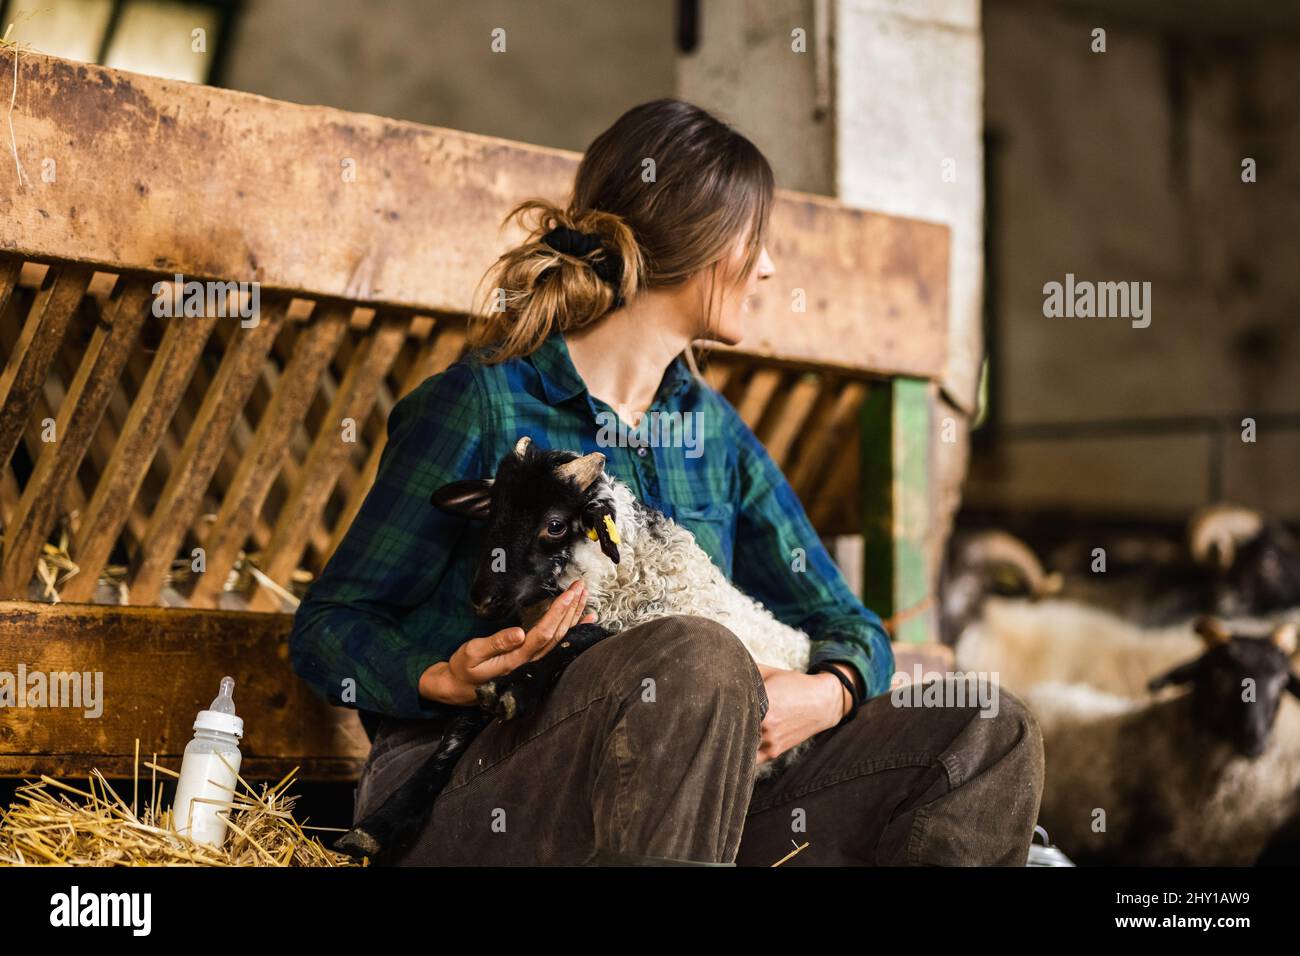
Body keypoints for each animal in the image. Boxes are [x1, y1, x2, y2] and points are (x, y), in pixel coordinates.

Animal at [335, 437, 814, 863]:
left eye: (555, 524)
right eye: (493, 512)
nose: (482, 599)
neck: (624, 574)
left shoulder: (618, 622)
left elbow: (580, 640)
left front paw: (517, 688)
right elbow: (458, 732)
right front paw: (381, 825)